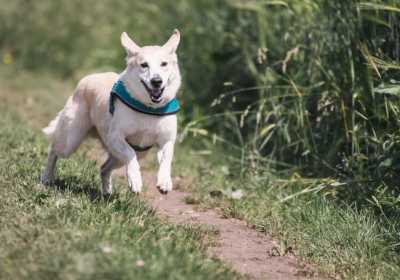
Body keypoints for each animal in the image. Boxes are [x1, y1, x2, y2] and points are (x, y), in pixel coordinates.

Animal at [40, 29, 181, 195]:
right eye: (144, 65)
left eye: (164, 64)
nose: (156, 81)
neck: (148, 108)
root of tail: (88, 77)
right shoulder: (115, 137)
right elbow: (130, 154)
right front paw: (135, 180)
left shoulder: (166, 141)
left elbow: (166, 160)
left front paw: (165, 181)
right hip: (70, 140)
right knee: (53, 150)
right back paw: (46, 178)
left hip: (127, 155)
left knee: (104, 168)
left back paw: (107, 192)